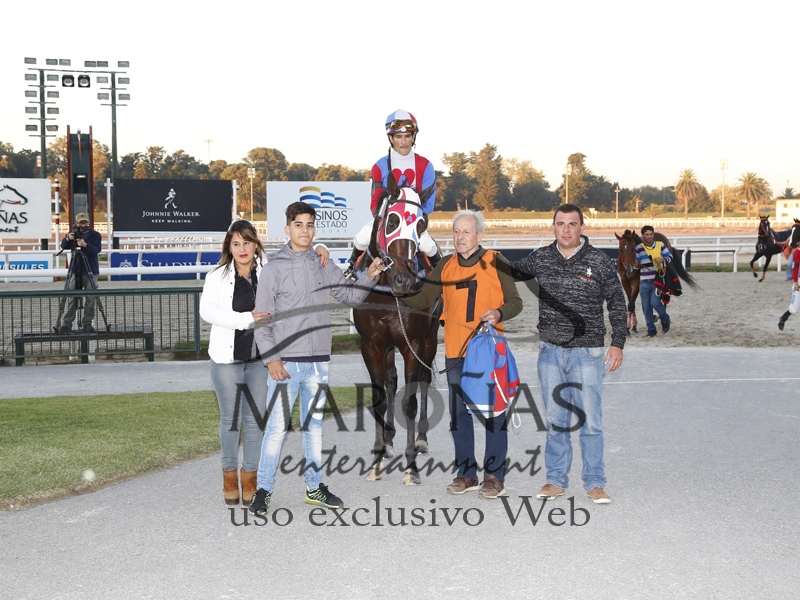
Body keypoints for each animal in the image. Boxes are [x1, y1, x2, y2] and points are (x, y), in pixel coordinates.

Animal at [351, 180, 441, 485]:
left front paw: (411, 466)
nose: (405, 279)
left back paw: (422, 439)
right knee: (391, 382)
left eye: (422, 225)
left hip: (429, 340)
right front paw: (378, 459)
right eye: (392, 221)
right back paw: (388, 441)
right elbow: (380, 397)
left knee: (424, 380)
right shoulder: (372, 345)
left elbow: (410, 401)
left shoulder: (414, 343)